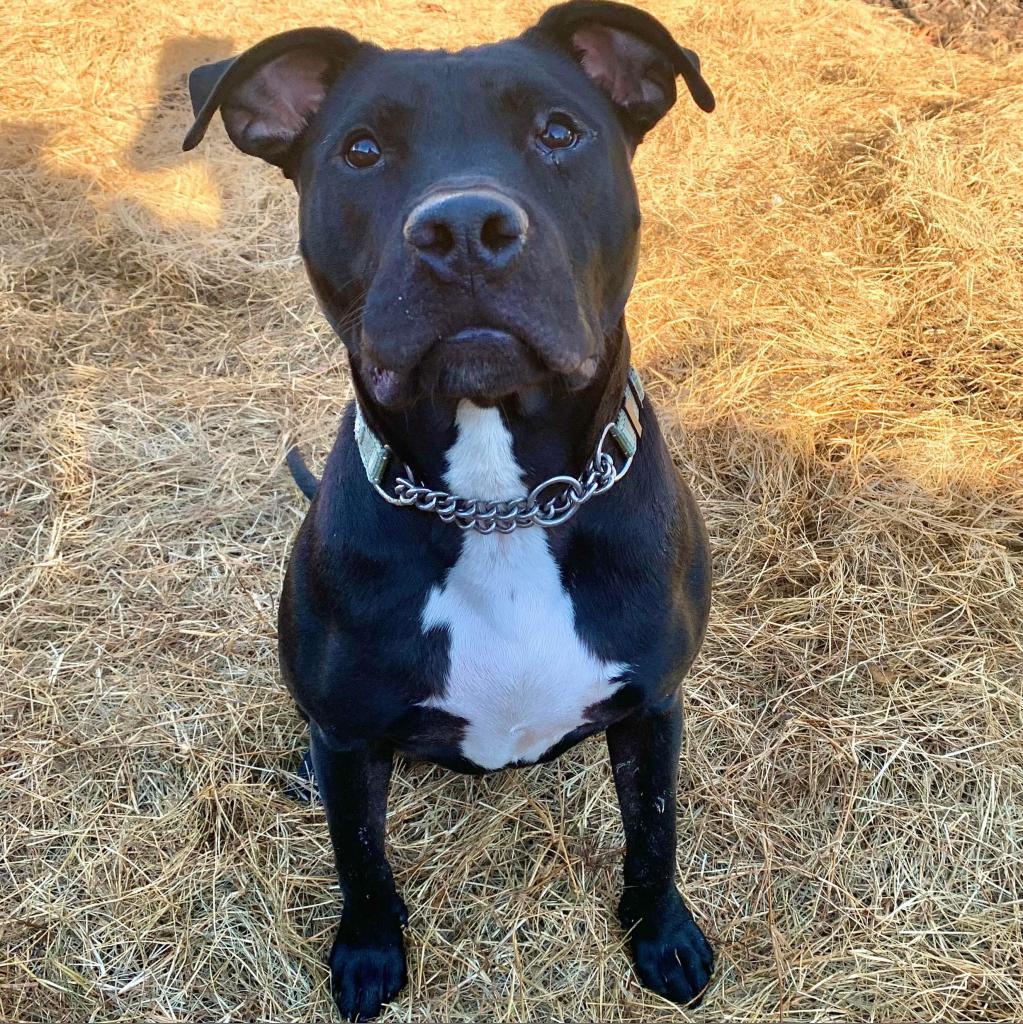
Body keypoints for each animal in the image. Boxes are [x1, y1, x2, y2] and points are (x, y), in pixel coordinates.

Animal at [186, 6, 712, 1015]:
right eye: (360, 150)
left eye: (558, 131)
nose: (464, 226)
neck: (498, 507)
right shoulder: (353, 738)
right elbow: (360, 859)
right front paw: (367, 954)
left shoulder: (654, 708)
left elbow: (656, 835)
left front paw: (662, 937)